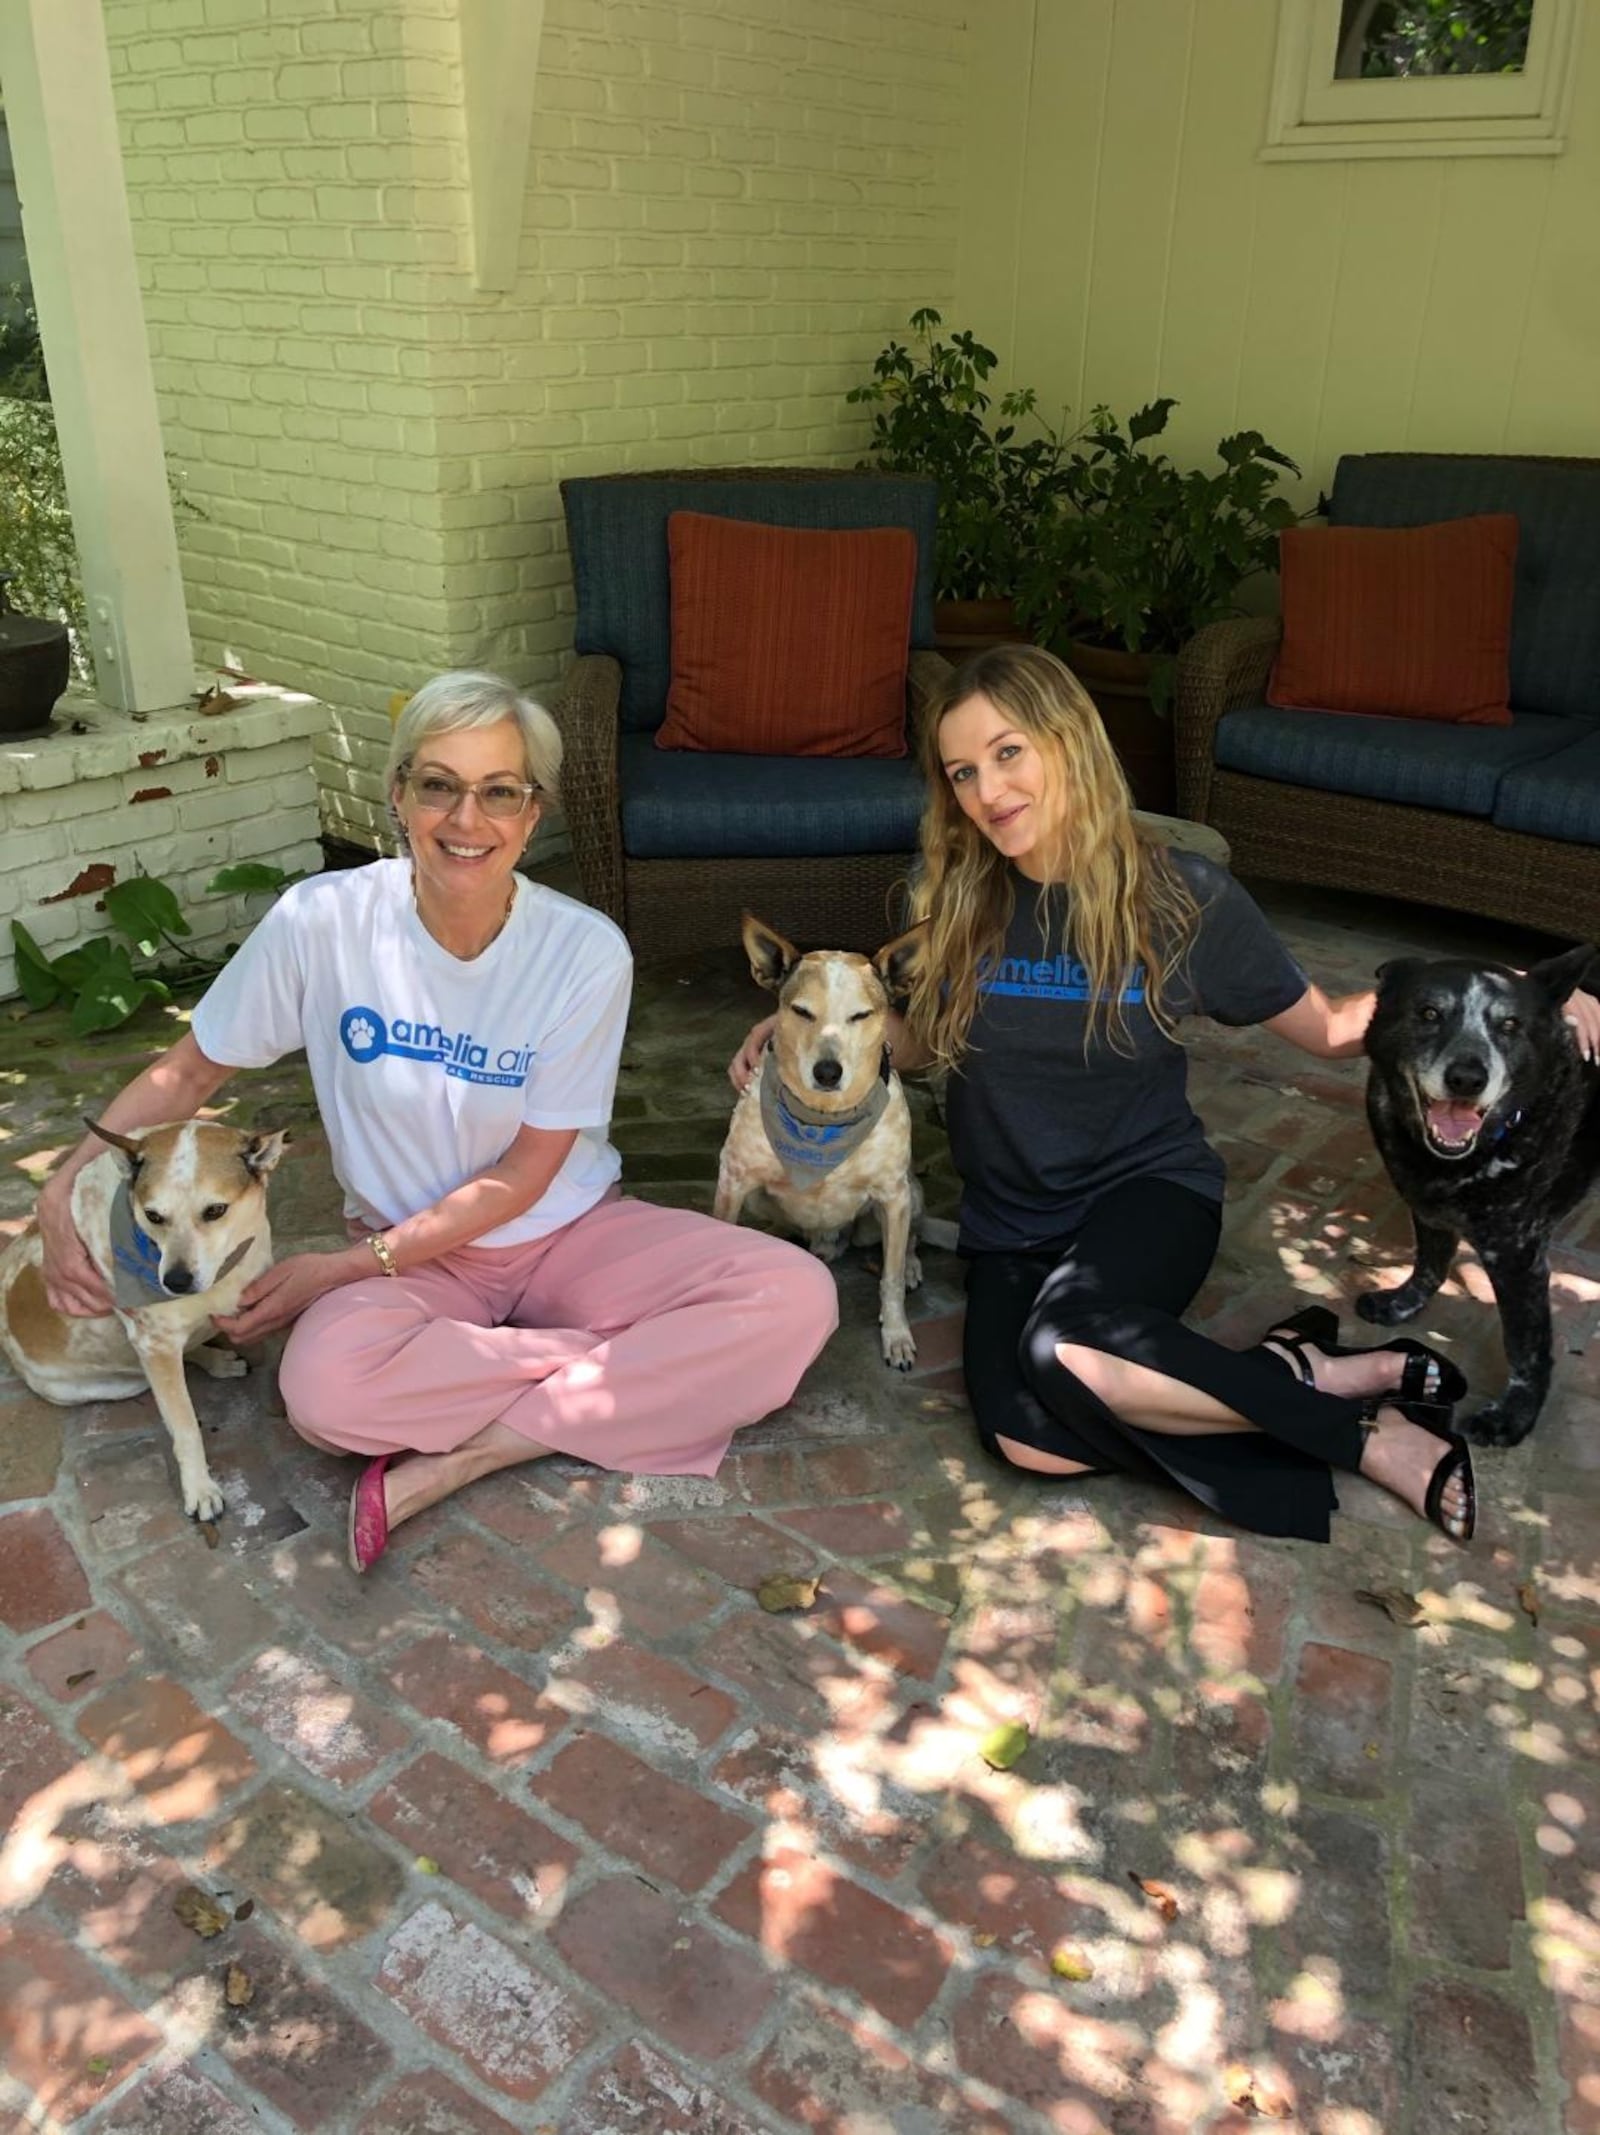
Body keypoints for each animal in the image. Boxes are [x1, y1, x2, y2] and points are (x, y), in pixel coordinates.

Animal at [1, 1118, 286, 1520]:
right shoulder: (154, 1343)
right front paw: (199, 1489)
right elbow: (185, 1426)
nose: (176, 1282)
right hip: (100, 1385)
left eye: (215, 1210)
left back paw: (218, 1359)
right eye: (153, 1216)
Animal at [713, 913, 944, 1366]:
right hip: (759, 1198)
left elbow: (889, 1280)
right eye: (802, 1011)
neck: (824, 1119)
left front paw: (896, 1335)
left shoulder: (893, 1196)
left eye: (861, 1015)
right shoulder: (734, 1180)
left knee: (908, 1241)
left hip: (910, 1196)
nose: (827, 1071)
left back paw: (909, 1265)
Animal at [1358, 952, 1597, 1451]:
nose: (1467, 1079)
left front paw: (1514, 1415)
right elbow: (1430, 1264)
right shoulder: (1426, 1205)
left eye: (1509, 1024)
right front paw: (1403, 1303)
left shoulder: (1518, 1255)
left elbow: (1526, 1346)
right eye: (1429, 1013)